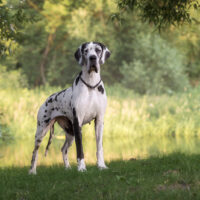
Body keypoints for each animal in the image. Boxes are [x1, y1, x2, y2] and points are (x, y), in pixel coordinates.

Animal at [29, 41, 111, 173]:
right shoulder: (78, 122)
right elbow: (80, 149)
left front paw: (101, 165)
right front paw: (82, 168)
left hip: (70, 133)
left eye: (98, 50)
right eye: (86, 51)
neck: (91, 85)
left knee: (63, 149)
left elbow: (99, 148)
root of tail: (47, 98)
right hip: (41, 131)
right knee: (34, 152)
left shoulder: (99, 121)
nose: (92, 58)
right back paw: (32, 171)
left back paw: (67, 168)